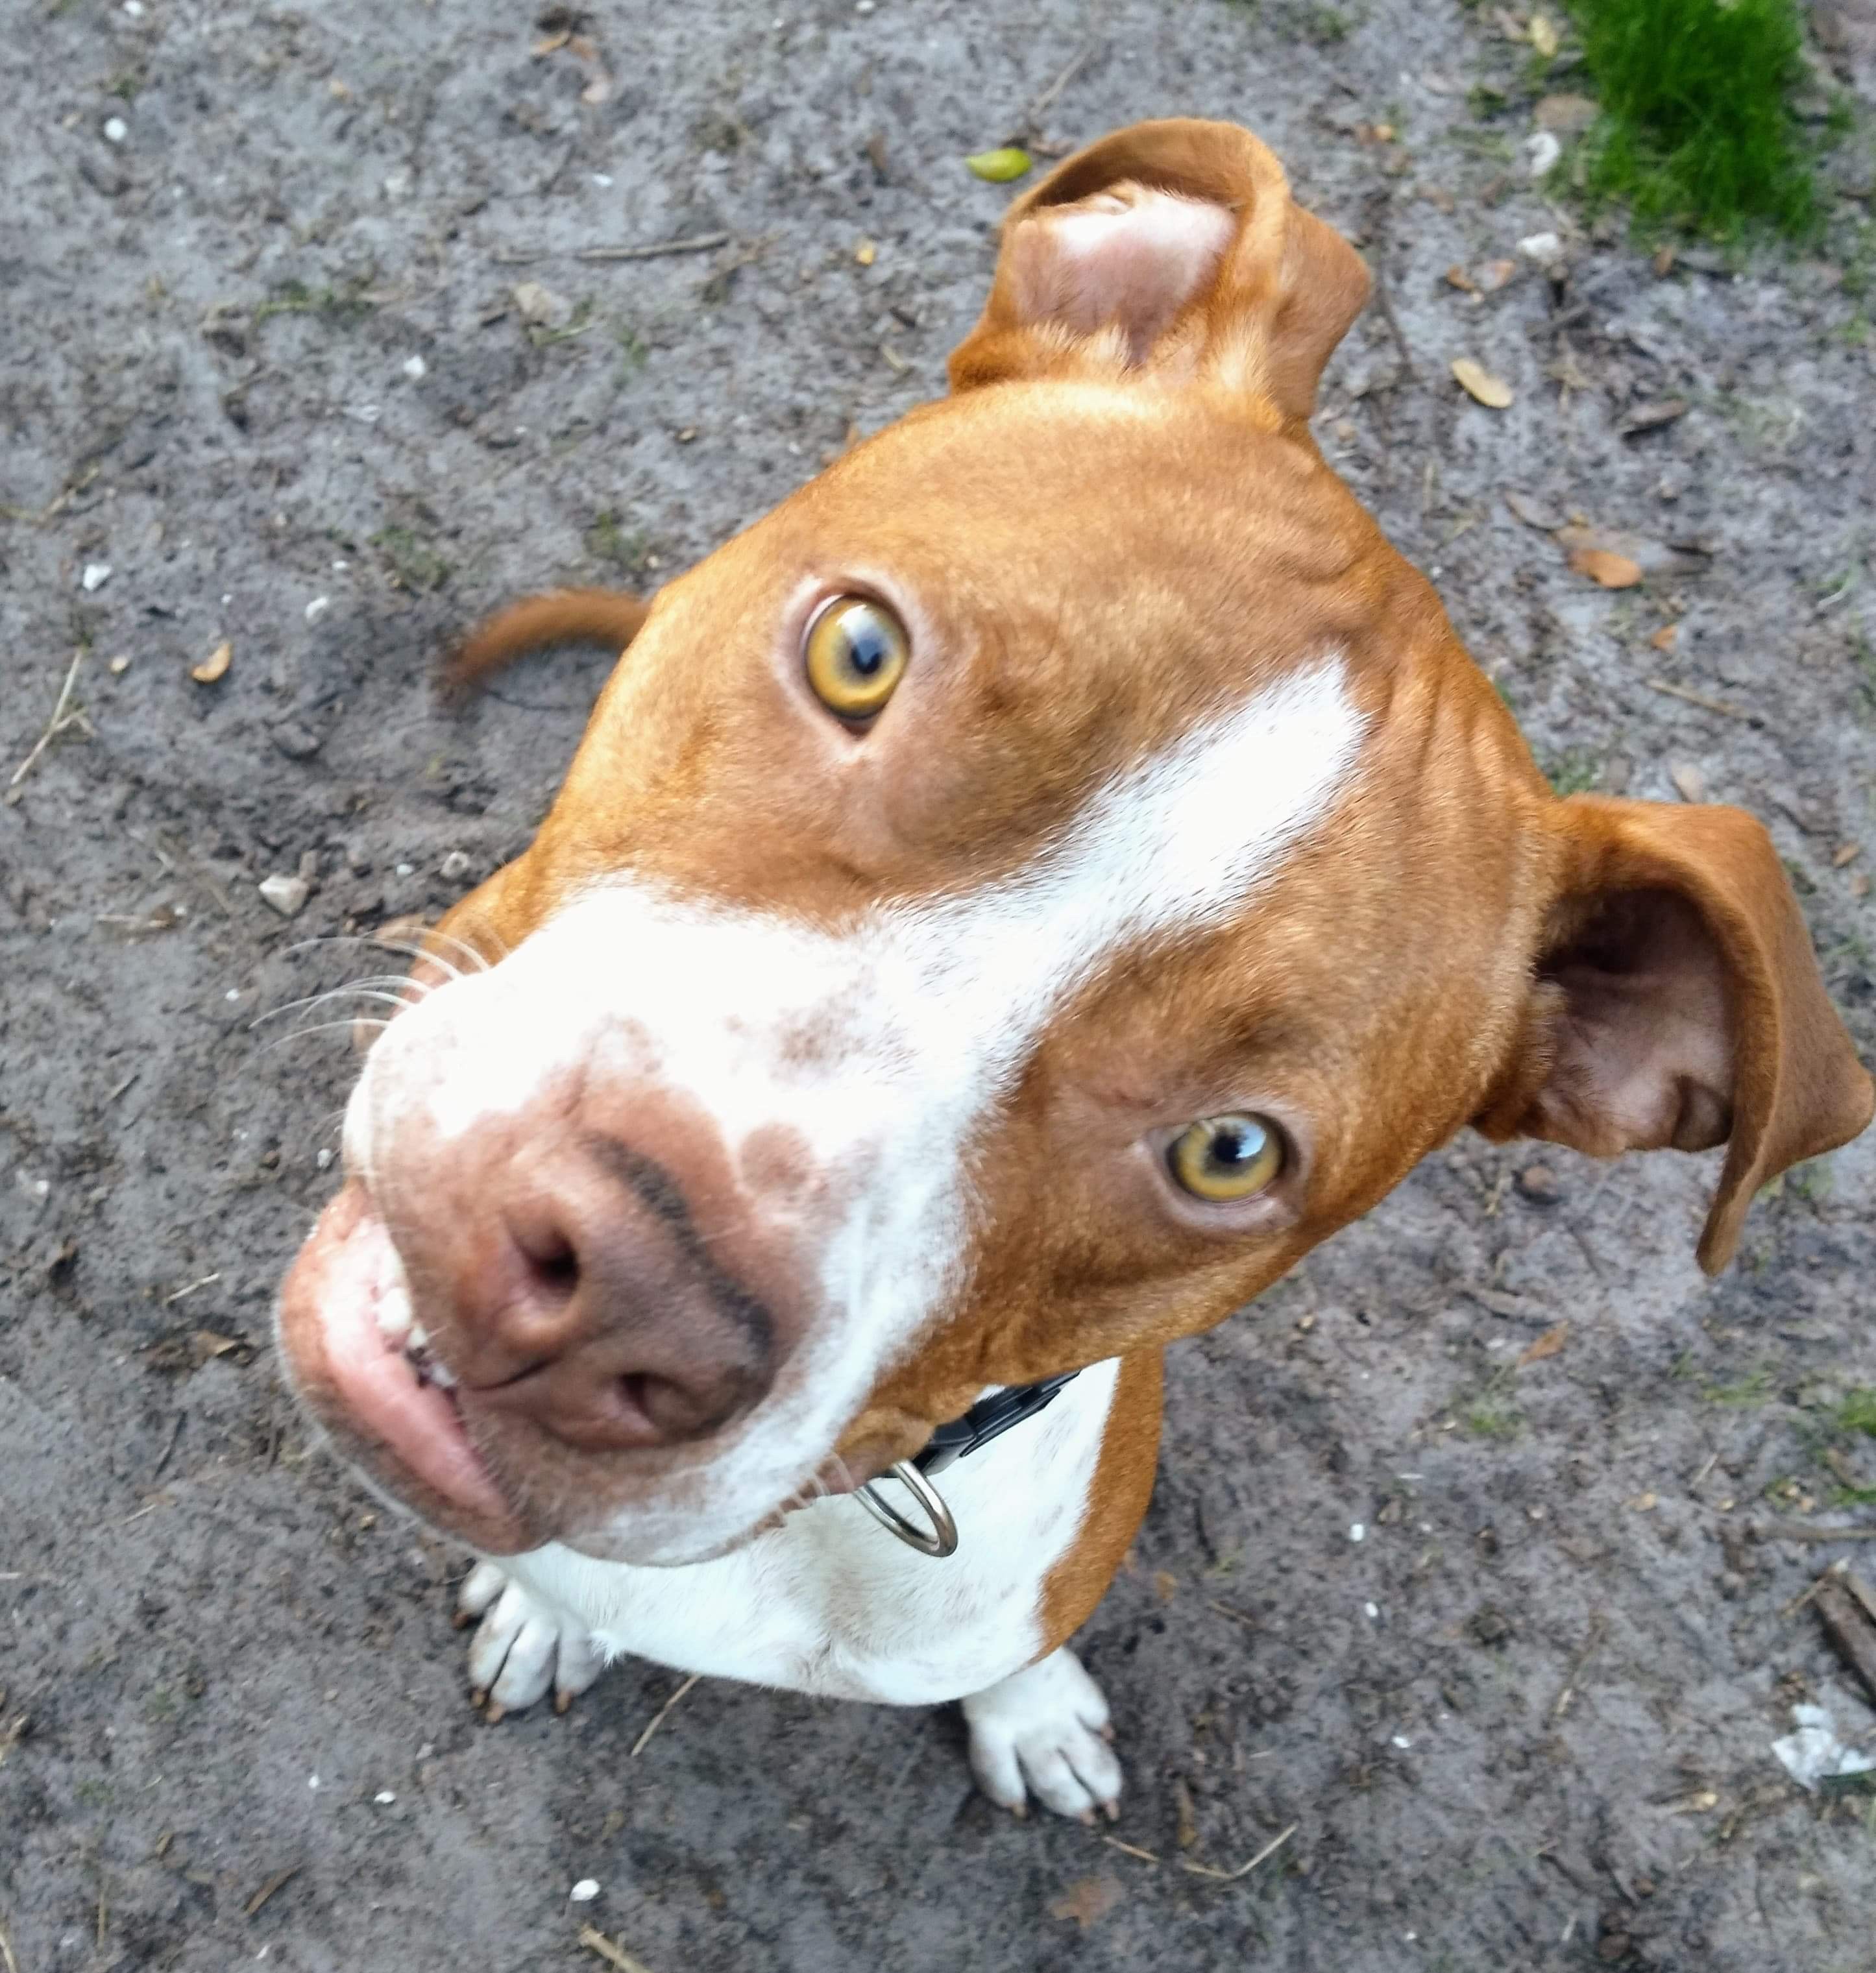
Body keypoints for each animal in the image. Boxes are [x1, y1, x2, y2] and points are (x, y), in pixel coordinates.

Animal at [278, 119, 1876, 1815]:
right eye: (860, 652)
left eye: (1228, 1151)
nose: (604, 1300)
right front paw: (544, 1614)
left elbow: (1016, 1656)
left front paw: (1031, 1714)